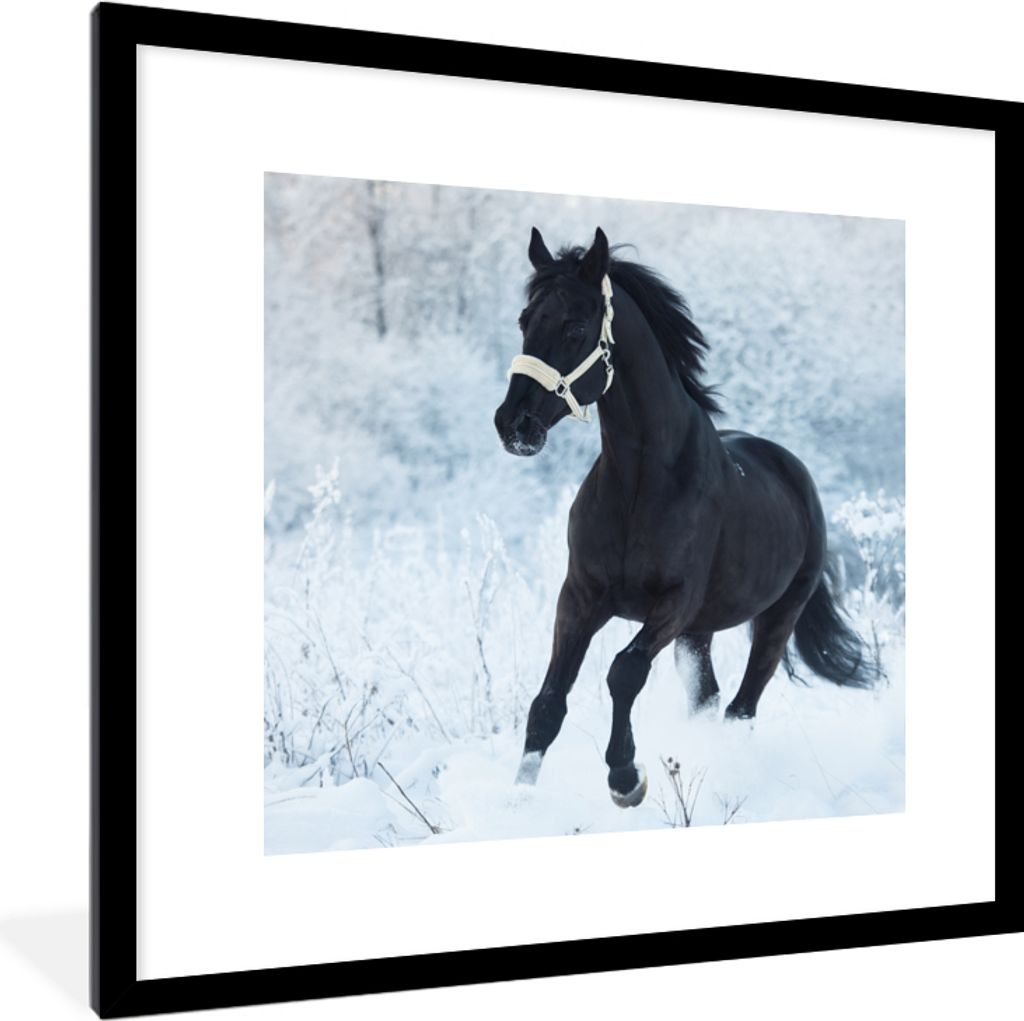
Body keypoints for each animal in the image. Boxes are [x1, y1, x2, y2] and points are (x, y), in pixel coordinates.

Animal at [493, 227, 873, 808]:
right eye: (525, 320)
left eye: (575, 326)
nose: (514, 424)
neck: (640, 484)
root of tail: (794, 472)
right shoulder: (580, 596)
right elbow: (548, 700)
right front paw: (518, 799)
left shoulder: (673, 601)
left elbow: (624, 672)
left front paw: (626, 778)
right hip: (699, 633)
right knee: (711, 699)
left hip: (776, 618)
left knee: (741, 707)